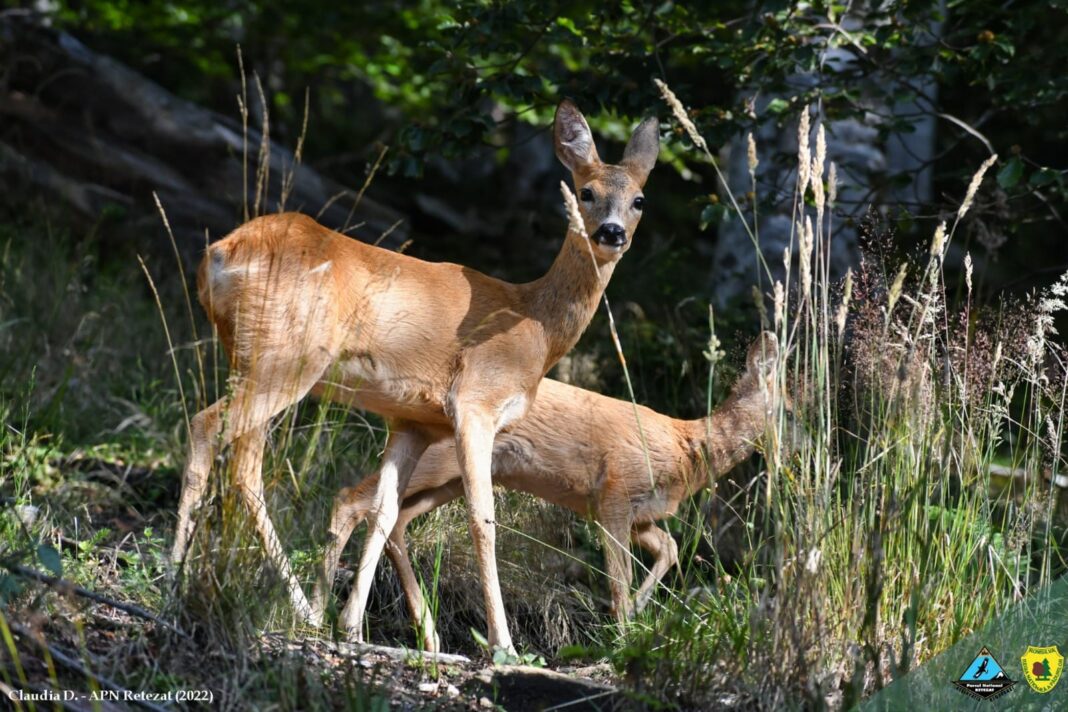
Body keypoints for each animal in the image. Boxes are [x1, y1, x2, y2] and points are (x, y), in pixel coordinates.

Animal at [173, 101, 657, 657]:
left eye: (639, 199)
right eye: (587, 192)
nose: (612, 233)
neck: (534, 325)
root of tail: (220, 253)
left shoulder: (413, 421)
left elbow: (382, 512)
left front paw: (352, 628)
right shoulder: (473, 403)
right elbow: (482, 518)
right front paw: (503, 646)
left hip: (251, 356)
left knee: (245, 466)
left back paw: (304, 614)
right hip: (284, 358)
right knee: (207, 427)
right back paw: (172, 581)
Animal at [311, 335, 781, 653]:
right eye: (787, 405)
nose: (789, 450)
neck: (687, 449)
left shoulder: (637, 514)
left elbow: (670, 546)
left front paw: (638, 617)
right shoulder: (613, 492)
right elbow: (620, 578)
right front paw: (624, 636)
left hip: (450, 480)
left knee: (396, 519)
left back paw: (428, 636)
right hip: (439, 463)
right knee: (352, 499)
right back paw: (323, 616)